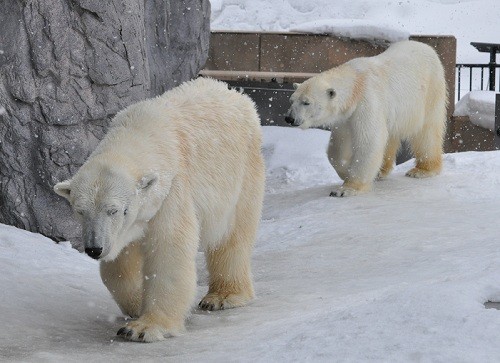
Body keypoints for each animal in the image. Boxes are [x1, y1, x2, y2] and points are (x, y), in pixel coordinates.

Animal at [52, 78, 266, 342]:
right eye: (80, 211)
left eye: (116, 210)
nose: (94, 248)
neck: (141, 131)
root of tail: (237, 95)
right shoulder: (127, 227)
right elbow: (121, 263)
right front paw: (136, 305)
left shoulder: (172, 192)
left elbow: (169, 250)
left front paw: (142, 328)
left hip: (243, 172)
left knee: (232, 235)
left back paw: (222, 296)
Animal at [286, 41, 446, 198]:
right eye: (291, 100)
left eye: (306, 102)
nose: (289, 118)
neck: (356, 82)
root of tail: (427, 47)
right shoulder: (345, 117)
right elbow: (338, 145)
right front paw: (346, 171)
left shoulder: (367, 101)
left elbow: (369, 140)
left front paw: (346, 189)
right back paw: (381, 171)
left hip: (430, 90)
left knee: (427, 132)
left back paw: (423, 170)